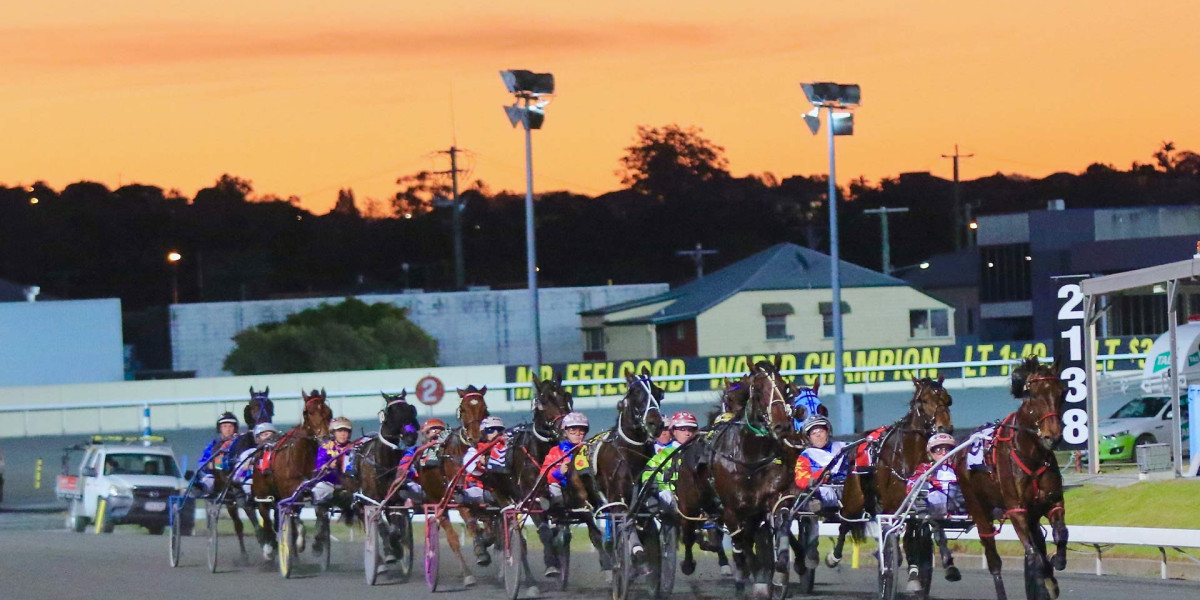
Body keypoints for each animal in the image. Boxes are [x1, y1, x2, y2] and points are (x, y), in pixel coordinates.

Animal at [250, 386, 331, 559]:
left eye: (329, 412)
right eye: (307, 412)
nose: (325, 436)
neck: (301, 457)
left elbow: (319, 513)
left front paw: (317, 544)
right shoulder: (289, 494)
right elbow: (295, 520)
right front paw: (298, 543)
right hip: (262, 494)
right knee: (265, 517)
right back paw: (270, 547)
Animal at [412, 384, 487, 585]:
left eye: (484, 408)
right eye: (463, 409)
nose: (476, 437)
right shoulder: (458, 495)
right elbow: (471, 525)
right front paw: (482, 551)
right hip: (436, 500)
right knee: (452, 538)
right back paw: (467, 573)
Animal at [568, 364, 672, 580]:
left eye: (658, 392)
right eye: (636, 392)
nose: (656, 424)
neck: (628, 453)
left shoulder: (641, 498)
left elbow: (640, 520)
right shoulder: (616, 498)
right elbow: (625, 523)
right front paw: (638, 556)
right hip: (582, 498)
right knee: (593, 528)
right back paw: (608, 559)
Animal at [830, 374, 960, 595]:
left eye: (948, 399)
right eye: (924, 400)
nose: (946, 428)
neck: (908, 455)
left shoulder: (917, 502)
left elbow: (916, 535)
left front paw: (919, 573)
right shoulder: (892, 504)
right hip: (854, 498)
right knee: (845, 522)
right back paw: (835, 556)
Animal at [955, 355, 1070, 600]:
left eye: (1062, 392)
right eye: (1033, 394)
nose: (1053, 437)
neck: (1031, 455)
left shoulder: (1052, 501)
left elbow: (1060, 534)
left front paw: (1057, 562)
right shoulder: (1016, 510)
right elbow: (1033, 554)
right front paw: (1045, 580)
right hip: (978, 508)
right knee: (993, 560)